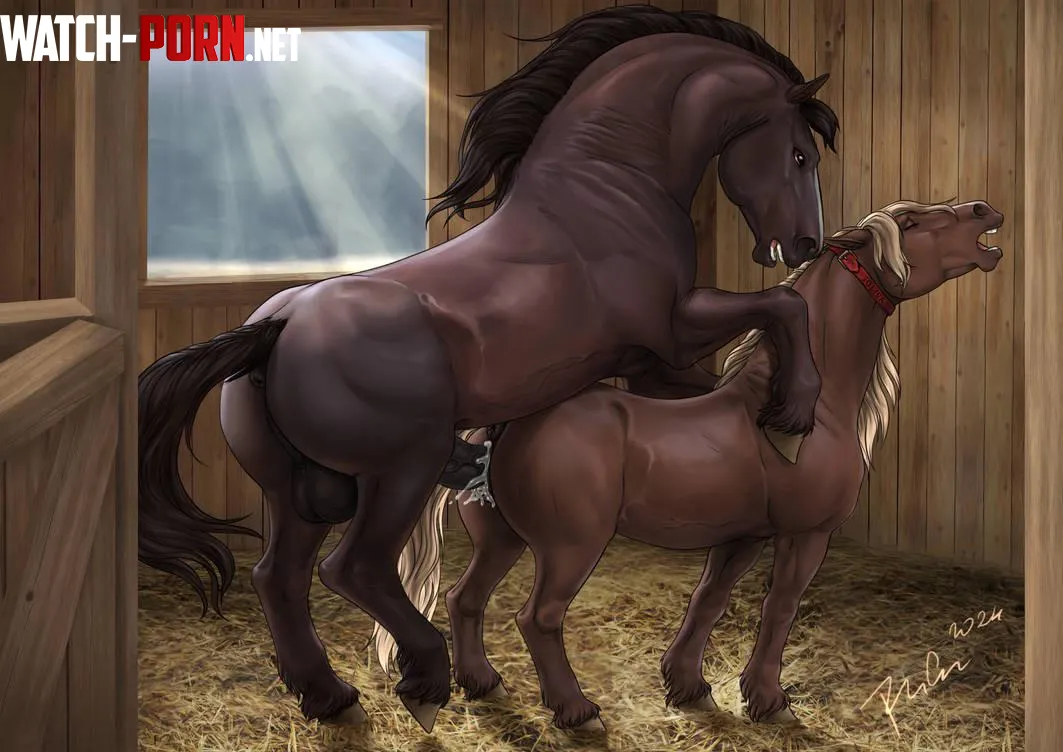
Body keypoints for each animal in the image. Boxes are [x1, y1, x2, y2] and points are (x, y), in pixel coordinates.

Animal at [137, 5, 839, 732]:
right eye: (799, 154)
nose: (806, 243)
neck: (608, 191)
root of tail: (275, 331)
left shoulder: (654, 366)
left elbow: (729, 368)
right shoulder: (673, 331)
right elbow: (783, 305)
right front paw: (794, 409)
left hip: (303, 488)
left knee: (279, 577)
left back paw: (332, 696)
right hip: (399, 470)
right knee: (354, 568)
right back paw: (428, 678)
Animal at [416, 199, 1003, 731]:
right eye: (911, 222)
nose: (984, 212)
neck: (799, 412)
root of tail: (506, 426)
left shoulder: (740, 537)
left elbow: (708, 602)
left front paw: (689, 687)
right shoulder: (806, 535)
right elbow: (780, 607)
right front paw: (768, 701)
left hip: (504, 538)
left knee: (465, 599)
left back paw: (482, 683)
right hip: (570, 548)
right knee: (538, 618)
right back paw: (578, 713)